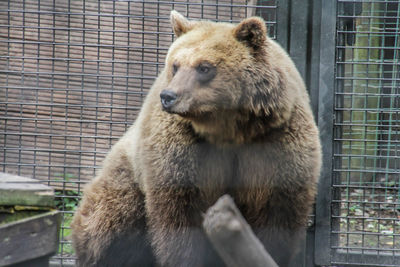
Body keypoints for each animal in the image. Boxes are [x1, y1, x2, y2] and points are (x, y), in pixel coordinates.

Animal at [71, 9, 322, 267]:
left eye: (204, 67)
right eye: (175, 65)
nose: (168, 96)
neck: (229, 130)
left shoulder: (273, 144)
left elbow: (276, 214)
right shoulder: (183, 150)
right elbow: (179, 216)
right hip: (124, 177)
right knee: (112, 221)